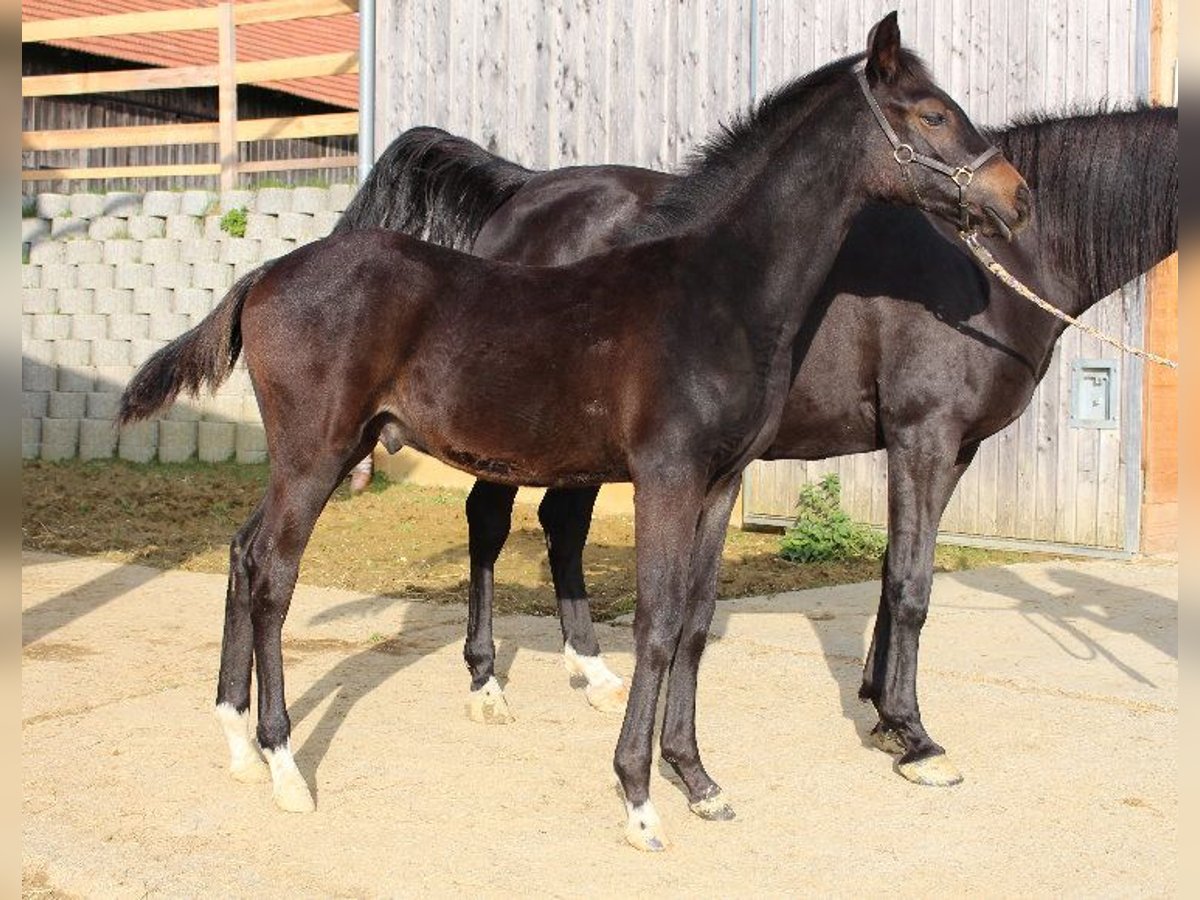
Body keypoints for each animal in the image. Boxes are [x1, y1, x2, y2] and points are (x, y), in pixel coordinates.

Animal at [119, 19, 1032, 854]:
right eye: (933, 114)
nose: (1017, 197)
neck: (717, 291)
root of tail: (263, 275)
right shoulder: (667, 475)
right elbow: (656, 623)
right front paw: (638, 798)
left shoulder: (721, 482)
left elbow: (694, 624)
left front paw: (698, 780)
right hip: (316, 453)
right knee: (274, 574)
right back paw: (283, 764)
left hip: (321, 453)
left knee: (244, 552)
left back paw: (237, 739)